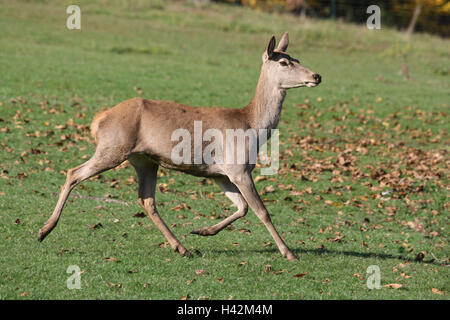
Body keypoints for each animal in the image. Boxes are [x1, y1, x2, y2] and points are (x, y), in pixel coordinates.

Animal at [37, 33, 320, 262]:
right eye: (283, 62)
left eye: (297, 57)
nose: (316, 75)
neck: (251, 125)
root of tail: (99, 119)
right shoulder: (238, 167)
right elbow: (262, 210)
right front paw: (289, 253)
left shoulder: (221, 174)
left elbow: (242, 208)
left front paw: (202, 230)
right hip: (113, 147)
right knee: (74, 172)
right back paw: (44, 230)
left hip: (144, 160)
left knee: (146, 199)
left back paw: (181, 247)